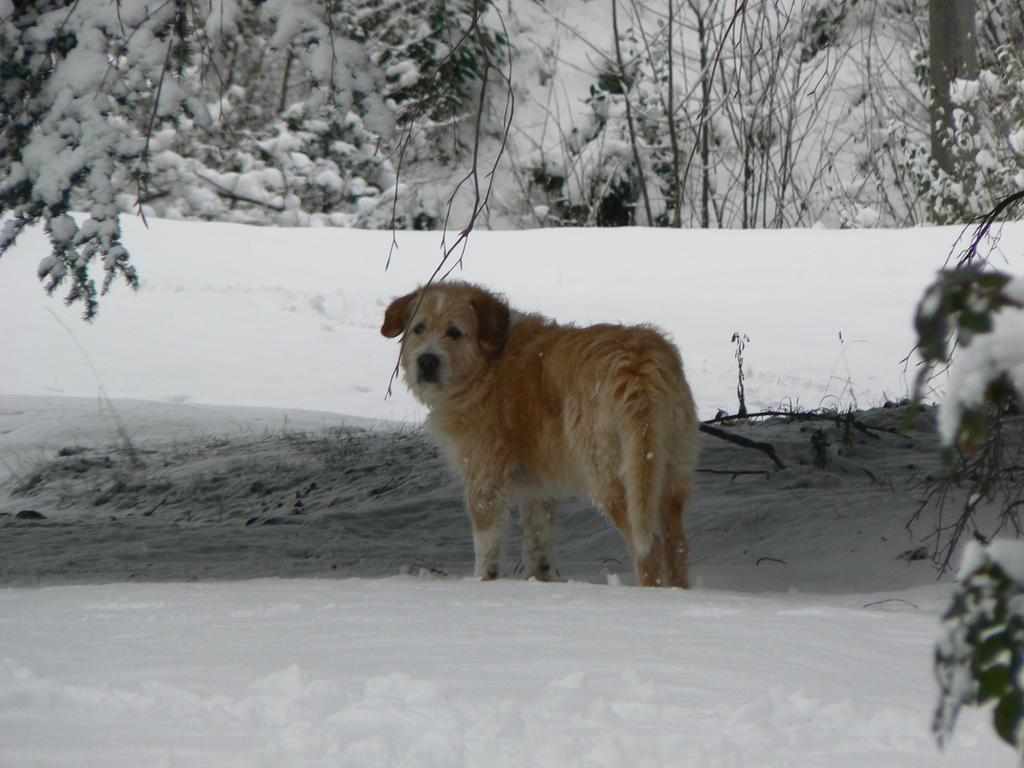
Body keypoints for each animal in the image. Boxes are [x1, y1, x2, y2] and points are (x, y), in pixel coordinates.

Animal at [380, 282, 700, 589]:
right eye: (418, 328)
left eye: (455, 331)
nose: (426, 361)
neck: (487, 365)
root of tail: (638, 361)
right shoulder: (538, 490)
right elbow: (538, 544)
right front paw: (539, 583)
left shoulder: (484, 479)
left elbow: (487, 544)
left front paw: (483, 582)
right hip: (668, 471)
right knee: (677, 543)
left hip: (612, 477)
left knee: (648, 546)